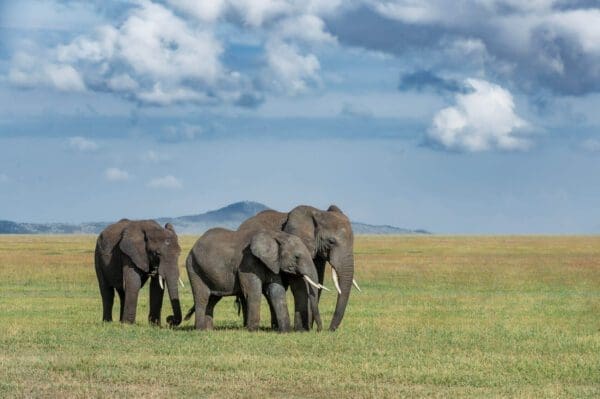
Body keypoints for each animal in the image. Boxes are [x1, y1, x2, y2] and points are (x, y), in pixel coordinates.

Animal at [183, 227, 326, 332]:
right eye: (296, 257)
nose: (318, 330)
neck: (276, 235)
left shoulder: (272, 262)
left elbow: (276, 290)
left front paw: (285, 331)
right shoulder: (247, 262)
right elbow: (253, 291)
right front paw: (253, 330)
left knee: (213, 299)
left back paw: (209, 330)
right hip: (194, 267)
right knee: (202, 297)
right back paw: (200, 330)